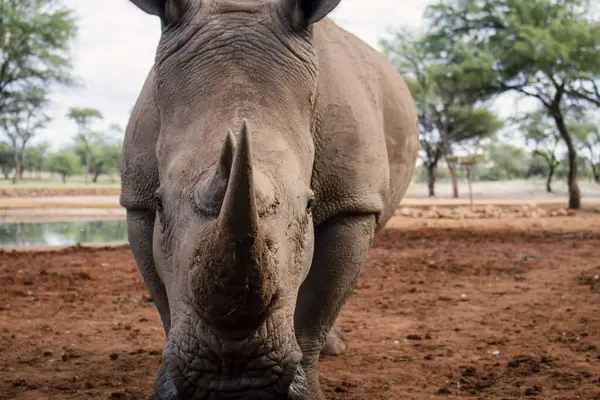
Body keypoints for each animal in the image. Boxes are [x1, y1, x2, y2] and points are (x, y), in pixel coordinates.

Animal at [117, 0, 418, 396]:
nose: (232, 380)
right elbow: (164, 299)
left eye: (309, 205)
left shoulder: (353, 202)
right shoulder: (136, 198)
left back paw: (335, 348)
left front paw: (308, 391)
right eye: (159, 203)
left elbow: (315, 310)